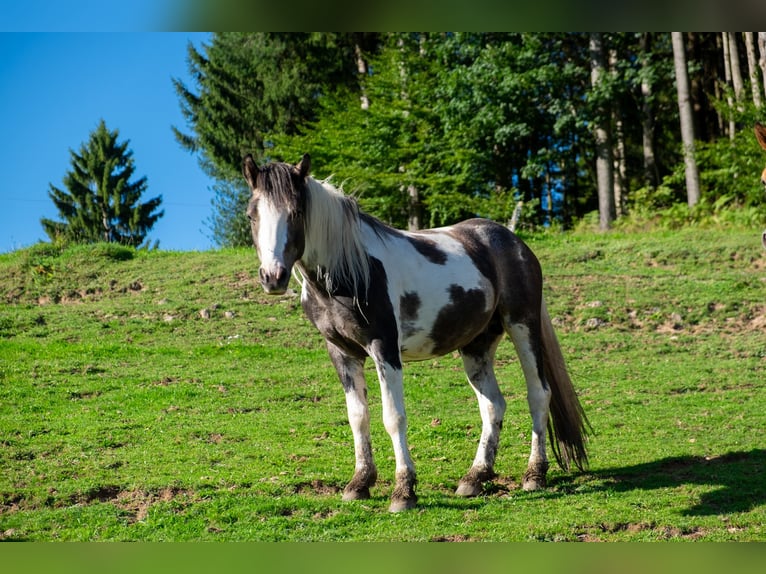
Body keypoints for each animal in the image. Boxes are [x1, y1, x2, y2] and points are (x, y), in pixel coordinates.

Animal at [242, 153, 590, 512]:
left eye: (296, 213)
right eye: (251, 215)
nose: (273, 277)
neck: (350, 270)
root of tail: (514, 243)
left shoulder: (384, 348)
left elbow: (393, 417)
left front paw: (403, 491)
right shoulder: (342, 352)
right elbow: (358, 417)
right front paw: (359, 483)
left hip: (522, 325)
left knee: (539, 394)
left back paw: (534, 474)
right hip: (476, 345)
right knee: (493, 405)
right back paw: (474, 478)